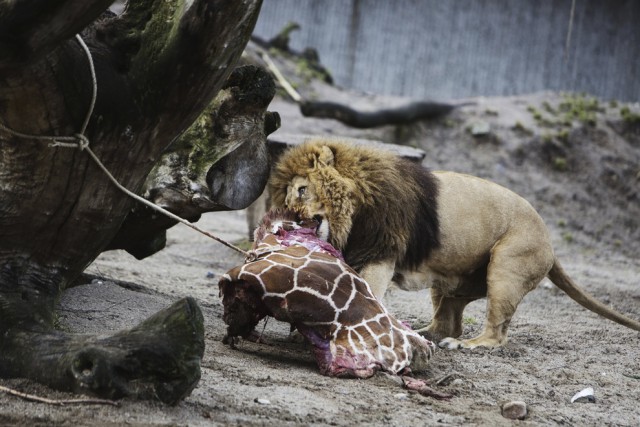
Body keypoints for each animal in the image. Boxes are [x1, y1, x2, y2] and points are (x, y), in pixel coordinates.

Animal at [268, 140, 640, 352]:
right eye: (286, 197)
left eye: (301, 190)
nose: (290, 215)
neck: (353, 211)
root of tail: (550, 239)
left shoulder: (381, 253)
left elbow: (366, 293)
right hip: (450, 281)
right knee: (447, 321)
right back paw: (423, 333)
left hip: (507, 268)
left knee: (495, 333)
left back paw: (466, 345)